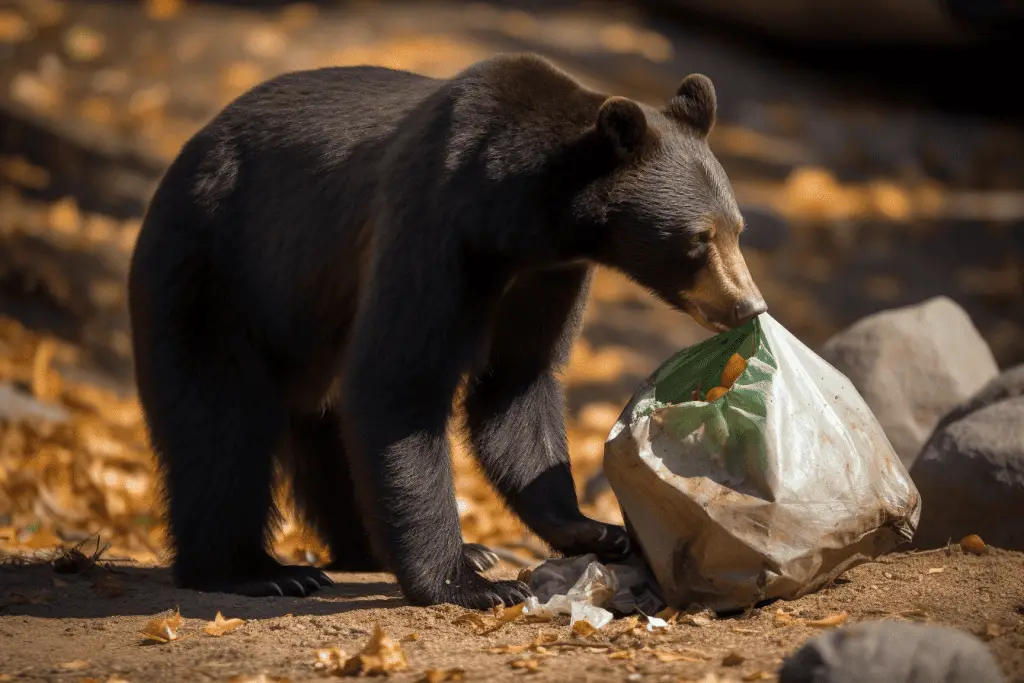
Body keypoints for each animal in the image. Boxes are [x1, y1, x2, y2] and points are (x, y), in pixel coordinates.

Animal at [128, 52, 765, 610]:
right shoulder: (436, 226)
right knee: (219, 423)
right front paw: (469, 583)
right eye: (699, 239)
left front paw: (592, 529)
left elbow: (516, 382)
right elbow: (400, 380)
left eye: (737, 228)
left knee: (327, 432)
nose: (748, 306)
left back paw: (376, 550)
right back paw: (258, 572)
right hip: (215, 271)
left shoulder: (548, 274)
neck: (522, 219)